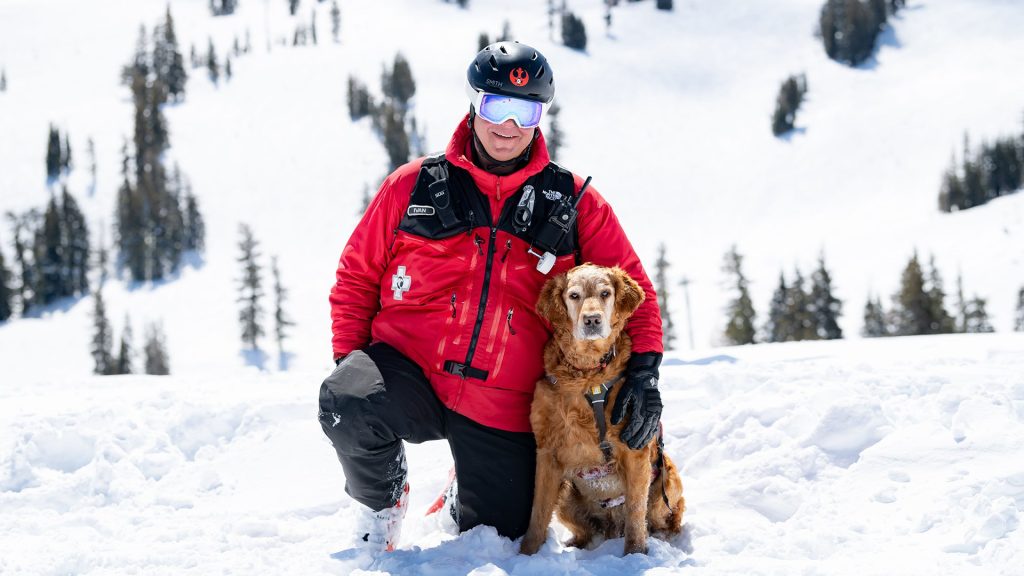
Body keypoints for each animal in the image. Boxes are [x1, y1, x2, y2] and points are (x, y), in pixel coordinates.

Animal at [524, 262, 684, 553]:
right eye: (574, 295)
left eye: (605, 293)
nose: (592, 320)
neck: (588, 375)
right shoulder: (547, 452)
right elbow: (537, 514)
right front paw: (526, 554)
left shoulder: (634, 451)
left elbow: (635, 512)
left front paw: (635, 555)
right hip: (567, 496)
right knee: (586, 529)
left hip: (667, 483)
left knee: (663, 520)